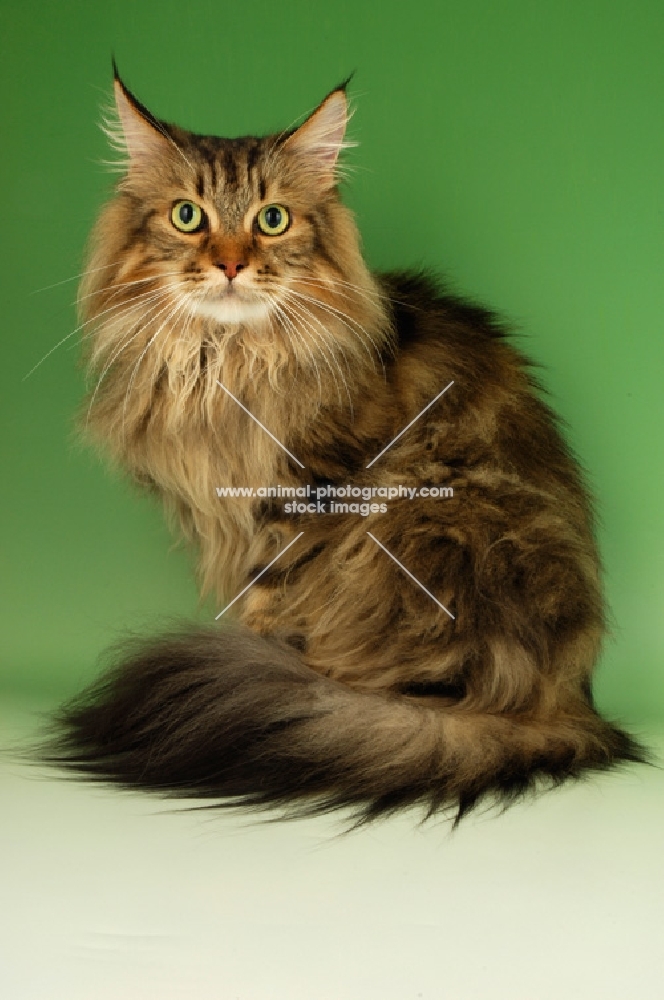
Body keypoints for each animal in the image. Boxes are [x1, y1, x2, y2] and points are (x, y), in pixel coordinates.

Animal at [40, 68, 644, 820]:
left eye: (272, 219)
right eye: (188, 216)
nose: (231, 265)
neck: (223, 361)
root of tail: (571, 702)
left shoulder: (299, 504)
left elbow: (269, 605)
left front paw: (263, 669)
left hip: (423, 515)